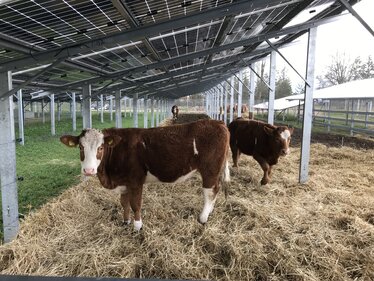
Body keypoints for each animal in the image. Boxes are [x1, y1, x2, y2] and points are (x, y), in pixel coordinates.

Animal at [60, 118, 231, 230]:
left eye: (101, 148)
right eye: (80, 147)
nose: (88, 170)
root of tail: (218, 122)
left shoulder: (136, 180)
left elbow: (135, 204)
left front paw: (137, 226)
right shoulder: (124, 182)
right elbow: (124, 203)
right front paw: (125, 222)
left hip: (210, 170)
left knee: (210, 192)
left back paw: (203, 218)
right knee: (216, 190)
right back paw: (209, 212)